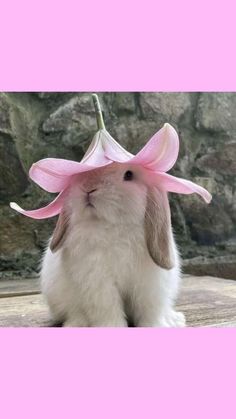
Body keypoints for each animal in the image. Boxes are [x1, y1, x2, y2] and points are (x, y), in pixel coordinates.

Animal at [40, 162, 185, 328]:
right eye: (80, 174)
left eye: (129, 175)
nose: (89, 187)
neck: (113, 226)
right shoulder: (98, 282)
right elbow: (108, 308)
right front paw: (113, 326)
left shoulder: (149, 285)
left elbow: (149, 310)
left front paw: (155, 326)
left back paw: (175, 320)